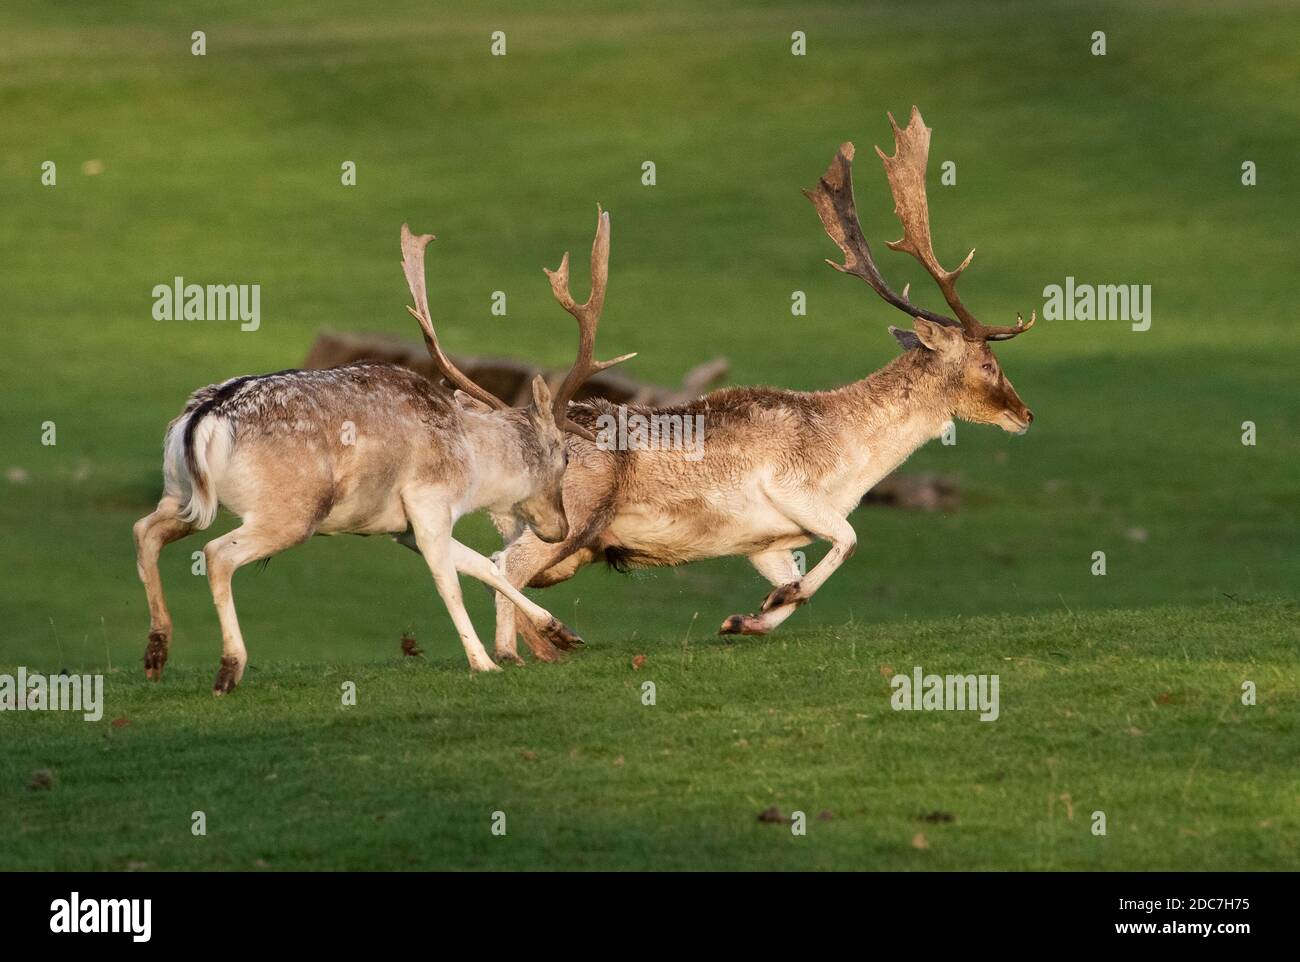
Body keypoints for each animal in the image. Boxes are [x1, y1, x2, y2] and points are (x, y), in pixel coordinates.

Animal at [134, 210, 631, 691]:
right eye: (564, 458)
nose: (561, 529)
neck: (471, 463)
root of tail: (203, 417)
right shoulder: (429, 504)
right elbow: (449, 582)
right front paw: (484, 663)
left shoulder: (402, 528)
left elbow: (484, 566)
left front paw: (561, 631)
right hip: (290, 511)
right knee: (216, 555)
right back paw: (228, 668)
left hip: (182, 493)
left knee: (146, 530)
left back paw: (156, 652)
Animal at [488, 105, 1034, 660]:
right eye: (989, 363)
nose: (1025, 413)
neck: (851, 461)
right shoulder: (790, 486)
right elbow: (849, 539)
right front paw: (775, 598)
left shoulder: (768, 542)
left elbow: (796, 579)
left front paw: (748, 617)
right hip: (571, 515)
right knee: (502, 564)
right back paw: (514, 650)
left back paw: (546, 642)